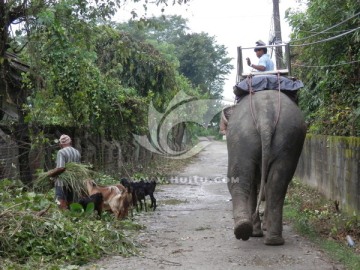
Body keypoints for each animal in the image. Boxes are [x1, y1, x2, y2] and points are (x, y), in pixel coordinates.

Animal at [226, 89, 306, 246]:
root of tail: (265, 115)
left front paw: (258, 229)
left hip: (243, 135)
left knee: (241, 179)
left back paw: (246, 230)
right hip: (287, 137)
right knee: (277, 183)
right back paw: (272, 239)